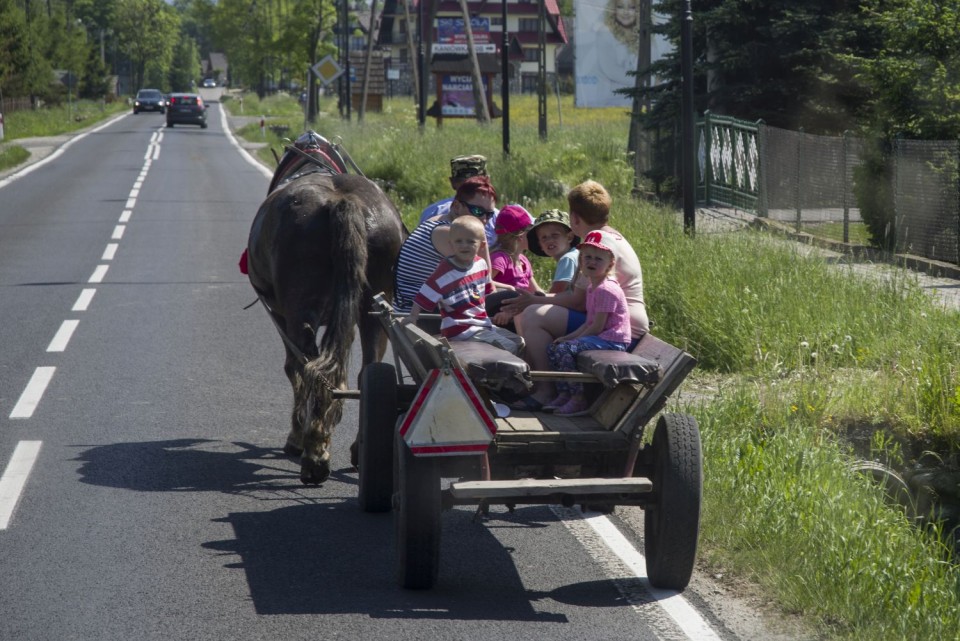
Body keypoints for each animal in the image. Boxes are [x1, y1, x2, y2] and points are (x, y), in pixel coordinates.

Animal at [246, 131, 406, 484]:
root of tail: (342, 203)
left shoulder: (281, 315)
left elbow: (293, 368)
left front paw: (296, 438)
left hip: (299, 311)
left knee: (312, 369)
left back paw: (314, 455)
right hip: (375, 311)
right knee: (366, 372)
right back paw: (357, 450)